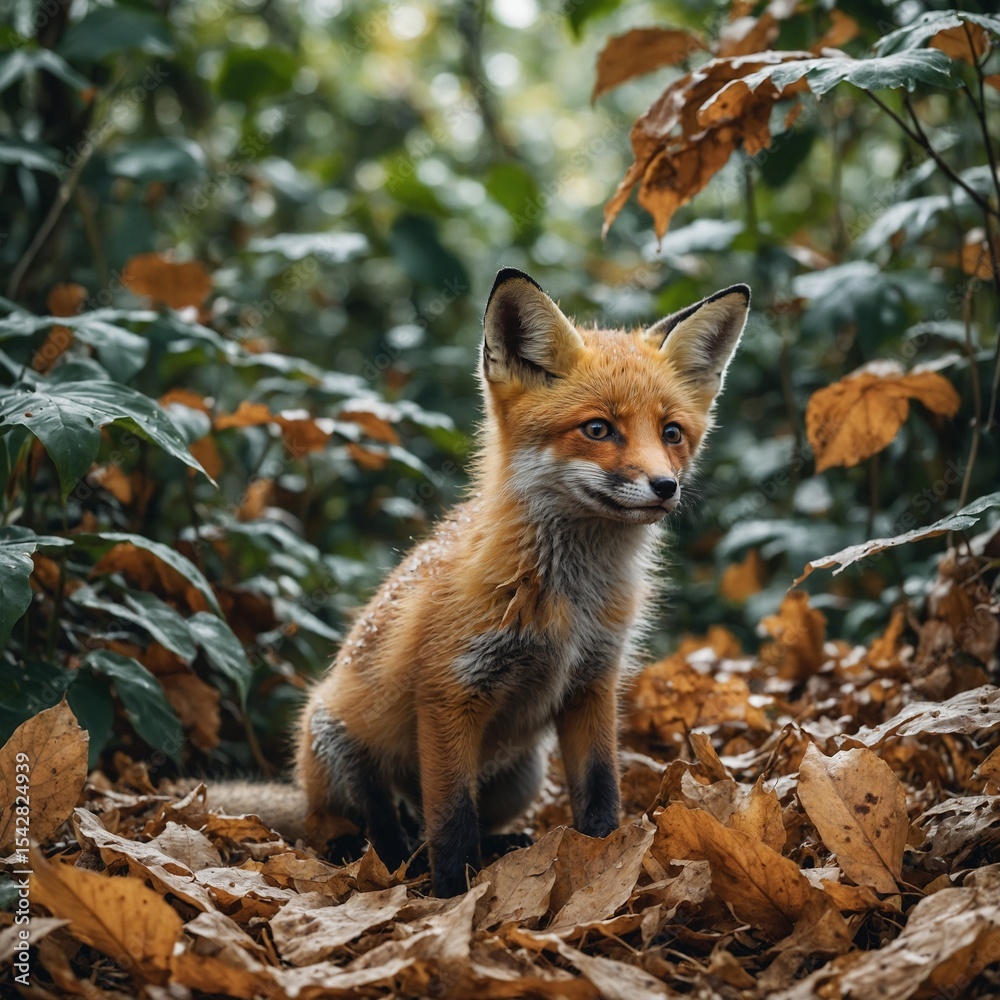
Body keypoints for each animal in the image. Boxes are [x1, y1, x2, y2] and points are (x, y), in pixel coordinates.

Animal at [214, 269, 750, 897]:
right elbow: (451, 819)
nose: (666, 486)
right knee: (367, 828)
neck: (568, 599)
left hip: (522, 774)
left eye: (671, 433)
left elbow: (600, 795)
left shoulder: (591, 684)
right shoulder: (449, 693)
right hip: (342, 753)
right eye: (598, 429)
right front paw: (452, 896)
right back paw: (385, 859)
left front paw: (606, 865)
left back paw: (500, 847)